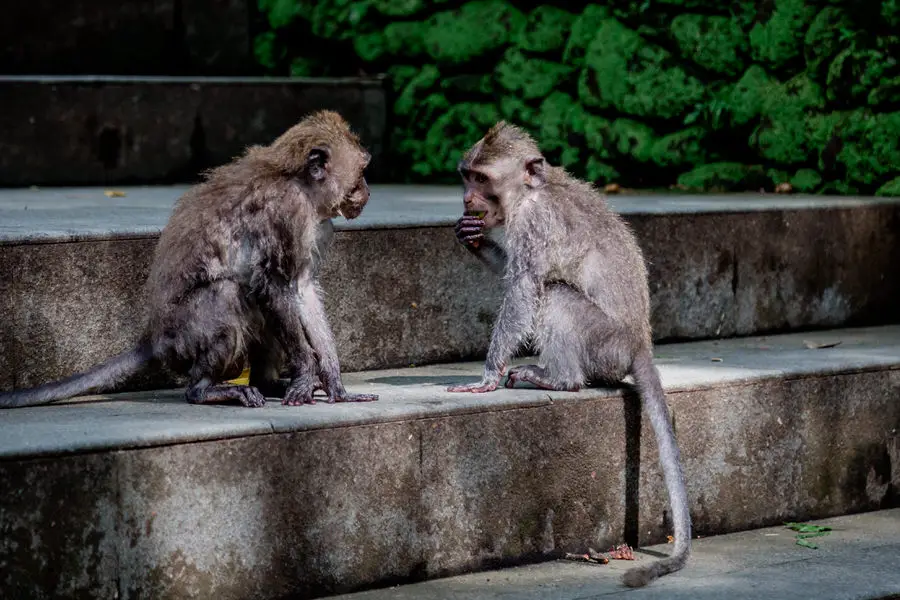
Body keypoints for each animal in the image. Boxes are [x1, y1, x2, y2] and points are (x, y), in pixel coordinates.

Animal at [0, 110, 376, 410]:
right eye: (361, 172)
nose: (367, 191)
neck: (300, 186)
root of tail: (156, 337)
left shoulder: (318, 225)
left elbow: (301, 289)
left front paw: (333, 382)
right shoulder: (287, 210)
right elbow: (272, 283)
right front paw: (305, 372)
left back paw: (267, 383)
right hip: (187, 334)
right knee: (230, 293)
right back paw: (205, 390)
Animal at [448, 120, 688, 584]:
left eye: (482, 180)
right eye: (467, 176)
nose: (467, 200)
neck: (529, 193)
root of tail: (640, 341)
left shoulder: (534, 223)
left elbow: (524, 286)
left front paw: (487, 375)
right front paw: (472, 238)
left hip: (605, 341)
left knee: (555, 293)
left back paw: (560, 379)